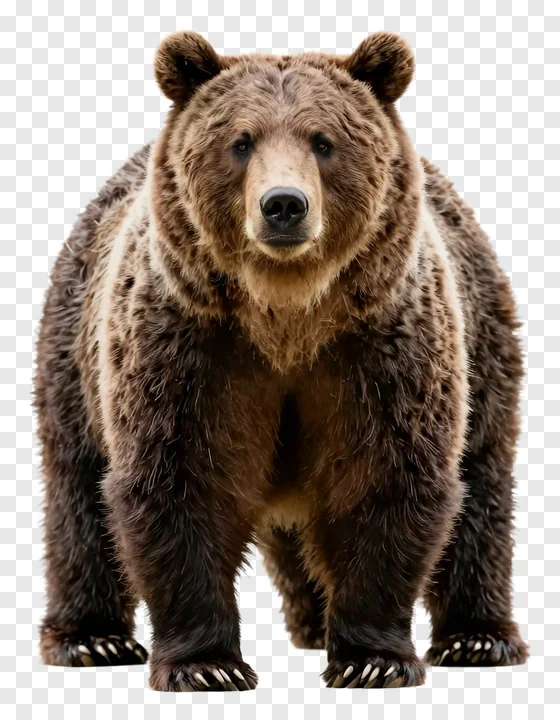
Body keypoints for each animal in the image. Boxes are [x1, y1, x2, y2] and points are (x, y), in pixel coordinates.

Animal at [35, 30, 529, 690]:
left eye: (324, 141)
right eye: (240, 142)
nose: (284, 206)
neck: (285, 315)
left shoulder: (382, 345)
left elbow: (387, 475)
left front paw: (371, 659)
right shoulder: (188, 344)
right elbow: (179, 480)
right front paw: (207, 665)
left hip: (483, 338)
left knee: (481, 482)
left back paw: (476, 636)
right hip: (74, 345)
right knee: (79, 488)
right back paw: (93, 638)